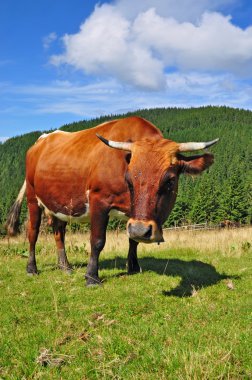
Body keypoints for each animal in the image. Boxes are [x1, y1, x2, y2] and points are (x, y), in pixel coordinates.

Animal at [6, 116, 219, 284]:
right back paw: (32, 269)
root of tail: (42, 139)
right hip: (33, 198)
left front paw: (133, 267)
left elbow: (133, 240)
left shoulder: (134, 216)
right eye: (129, 179)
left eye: (170, 180)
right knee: (32, 233)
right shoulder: (98, 201)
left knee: (59, 232)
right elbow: (97, 240)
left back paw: (65, 266)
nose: (142, 229)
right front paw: (91, 277)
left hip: (59, 203)